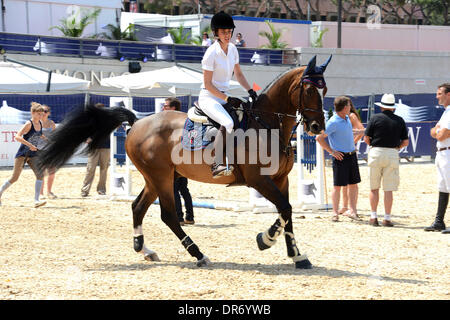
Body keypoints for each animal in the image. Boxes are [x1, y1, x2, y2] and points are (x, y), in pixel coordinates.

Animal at [37, 55, 330, 270]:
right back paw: (198, 254)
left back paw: (145, 249)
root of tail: (137, 123)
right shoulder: (259, 180)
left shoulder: (281, 179)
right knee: (168, 215)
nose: (317, 127)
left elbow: (286, 212)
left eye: (324, 89)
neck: (267, 124)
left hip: (155, 178)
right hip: (162, 177)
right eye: (308, 89)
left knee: (137, 207)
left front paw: (295, 255)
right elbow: (285, 209)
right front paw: (266, 240)